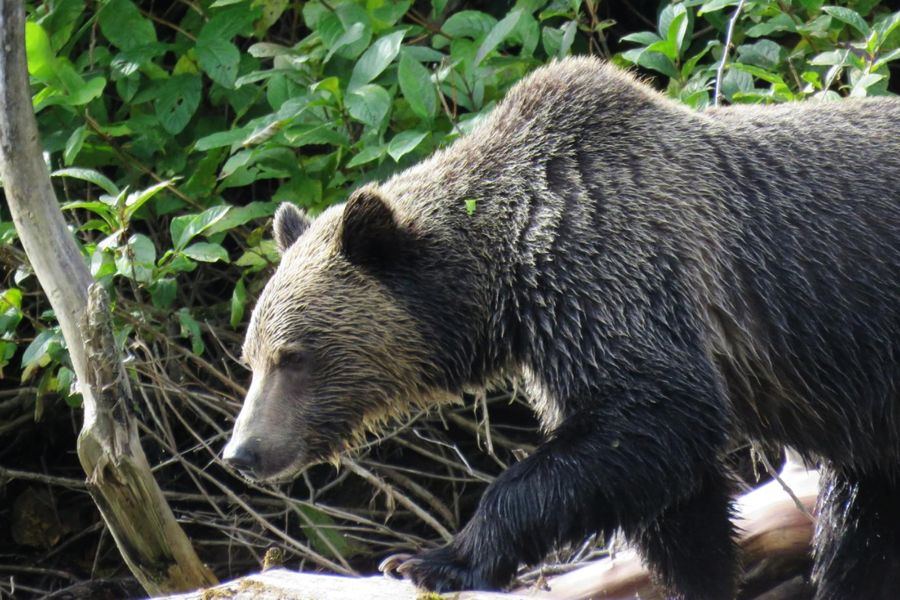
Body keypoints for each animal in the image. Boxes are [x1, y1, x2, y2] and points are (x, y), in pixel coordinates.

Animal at [221, 57, 896, 600]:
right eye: (251, 356)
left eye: (293, 355)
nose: (242, 452)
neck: (507, 276)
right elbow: (677, 502)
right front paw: (702, 577)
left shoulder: (613, 277)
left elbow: (650, 418)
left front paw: (432, 559)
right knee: (863, 513)